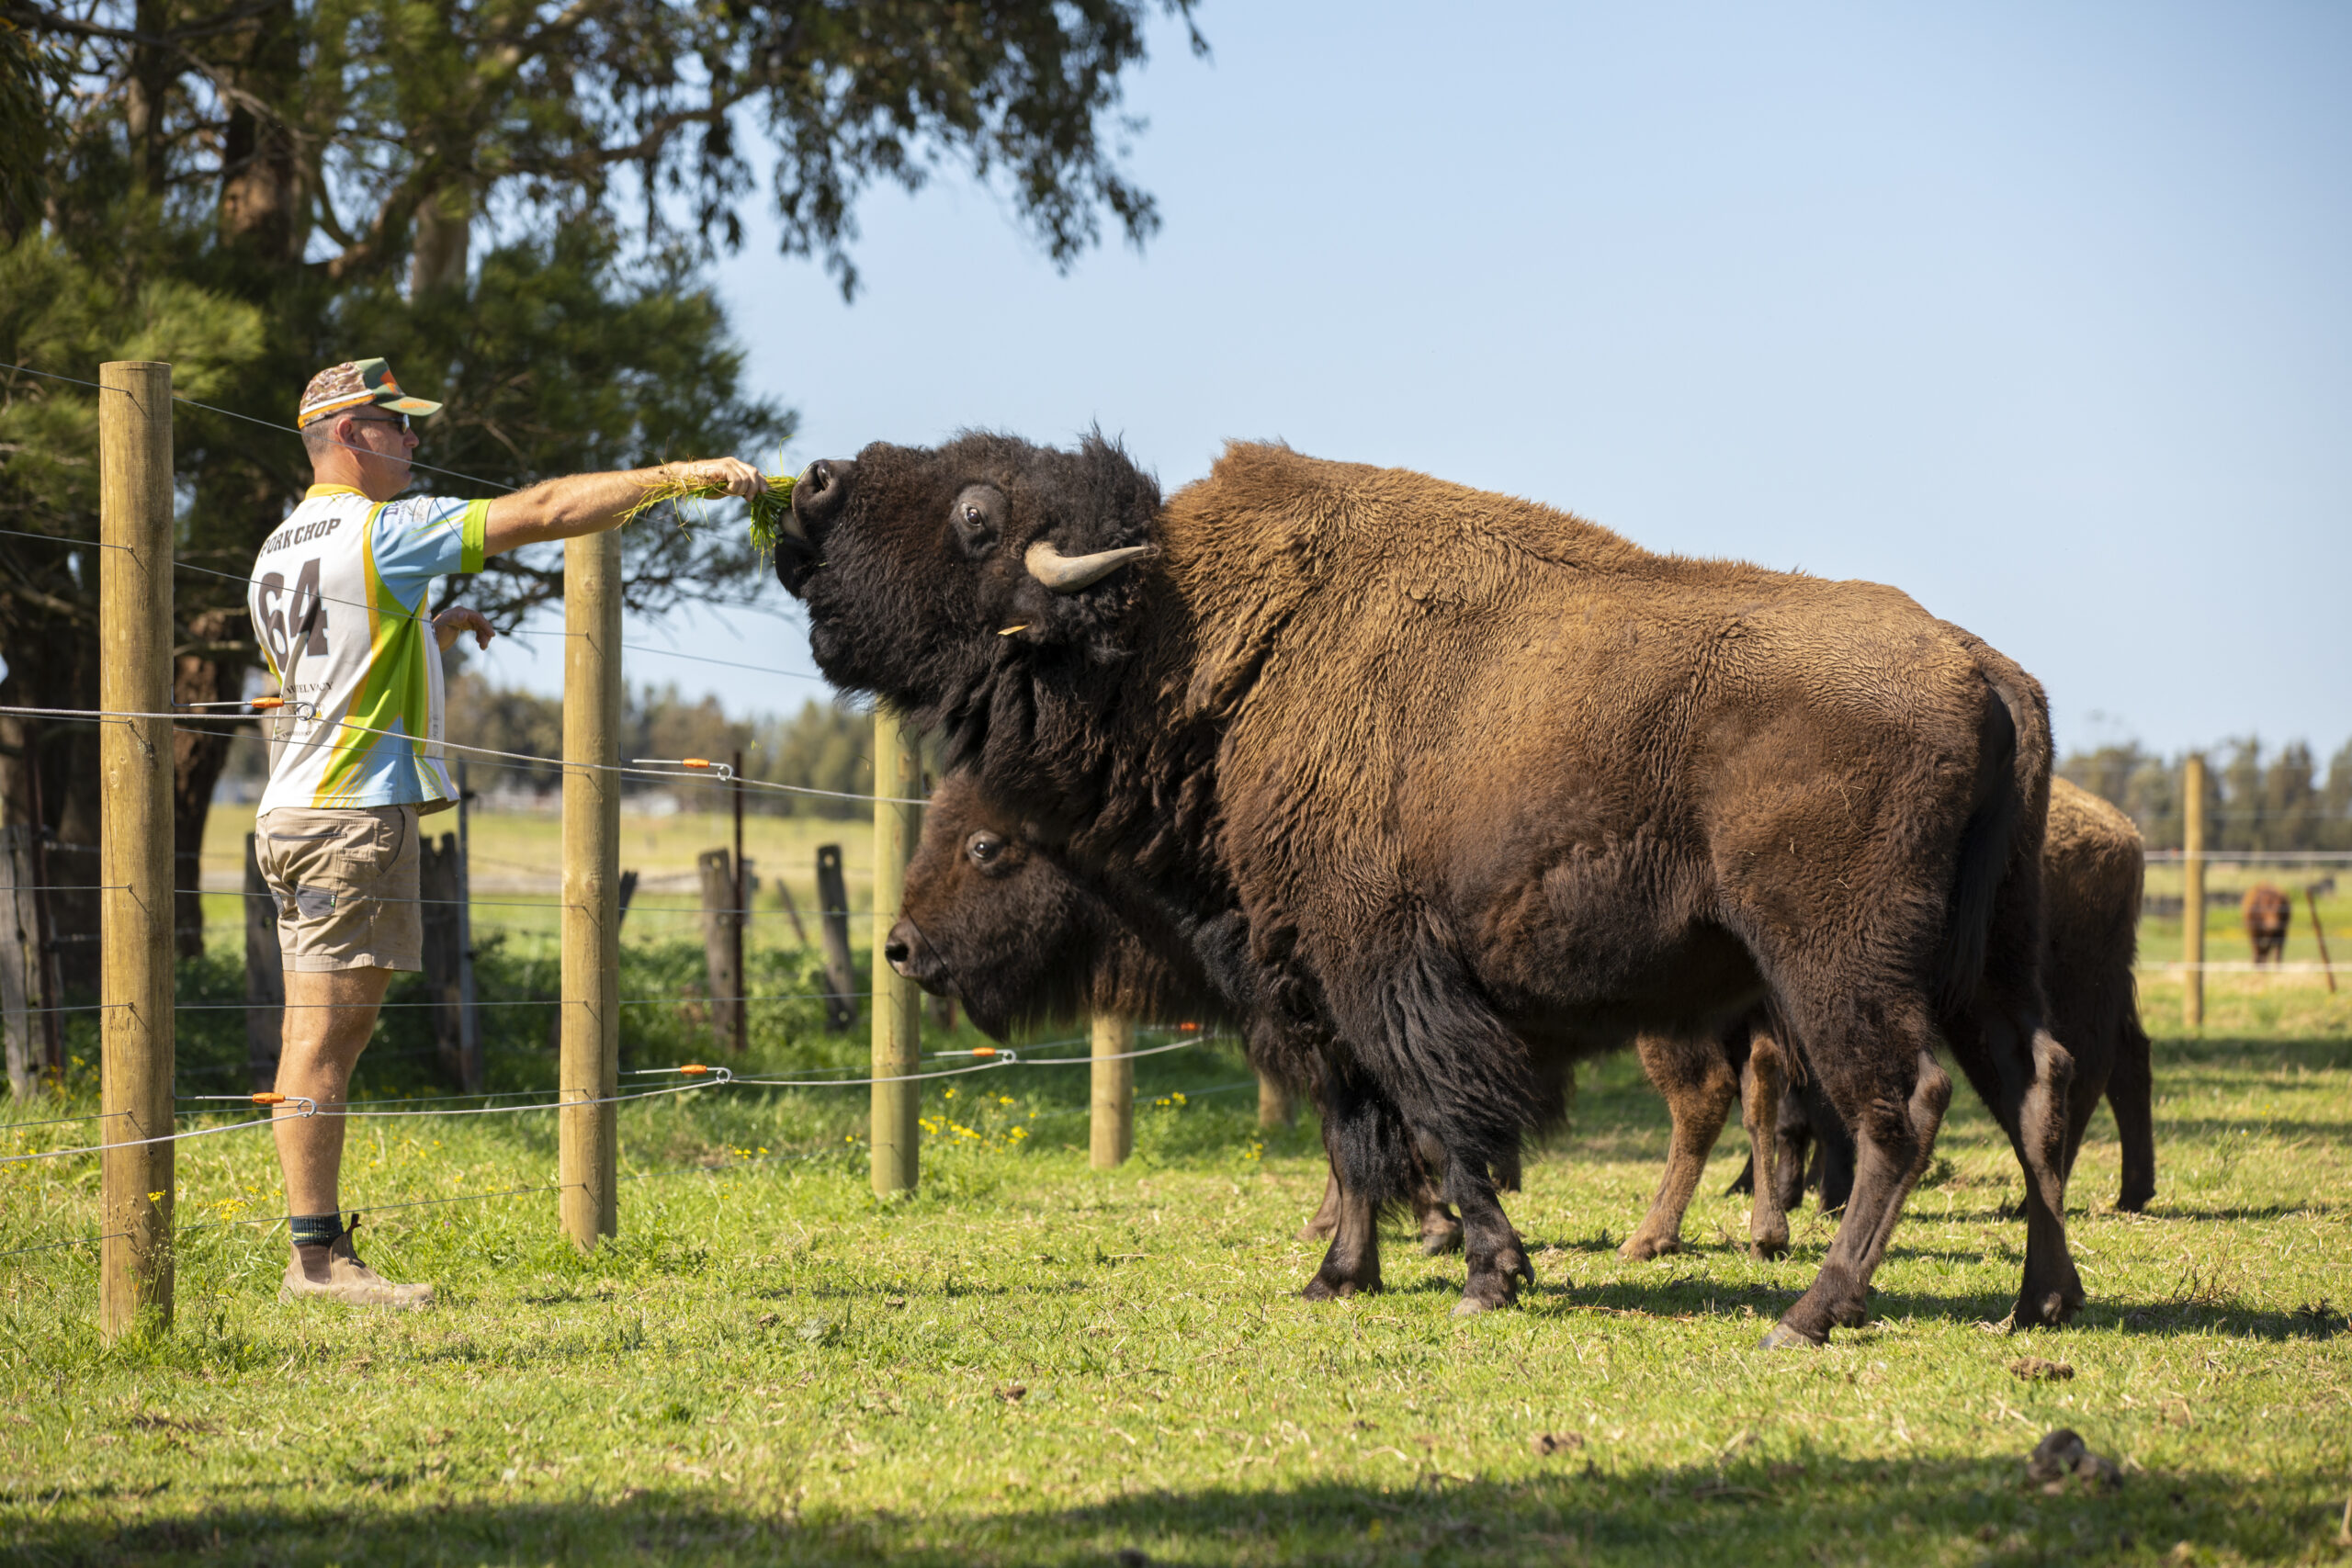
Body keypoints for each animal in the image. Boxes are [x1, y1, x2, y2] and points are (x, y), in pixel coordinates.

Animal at [781, 435, 2079, 1345]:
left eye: (976, 515)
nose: (812, 489)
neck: (1193, 648)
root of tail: (1987, 669)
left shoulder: (1381, 971)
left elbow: (1441, 1117)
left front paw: (1486, 1277)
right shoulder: (1306, 982)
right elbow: (1356, 1131)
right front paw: (1336, 1278)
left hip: (1835, 965)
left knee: (1903, 1106)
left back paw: (1812, 1312)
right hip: (1987, 961)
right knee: (2034, 1088)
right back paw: (2040, 1302)